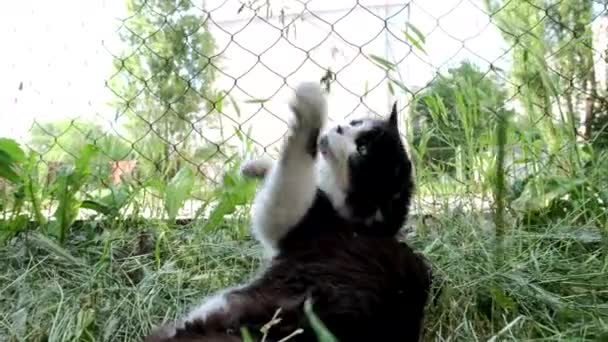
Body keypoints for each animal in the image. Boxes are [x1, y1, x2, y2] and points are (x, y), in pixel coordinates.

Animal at [146, 83, 432, 342]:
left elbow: (294, 168)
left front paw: (310, 109)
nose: (340, 127)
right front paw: (258, 166)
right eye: (355, 123)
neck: (364, 225)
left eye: (361, 150)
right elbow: (289, 173)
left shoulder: (299, 219)